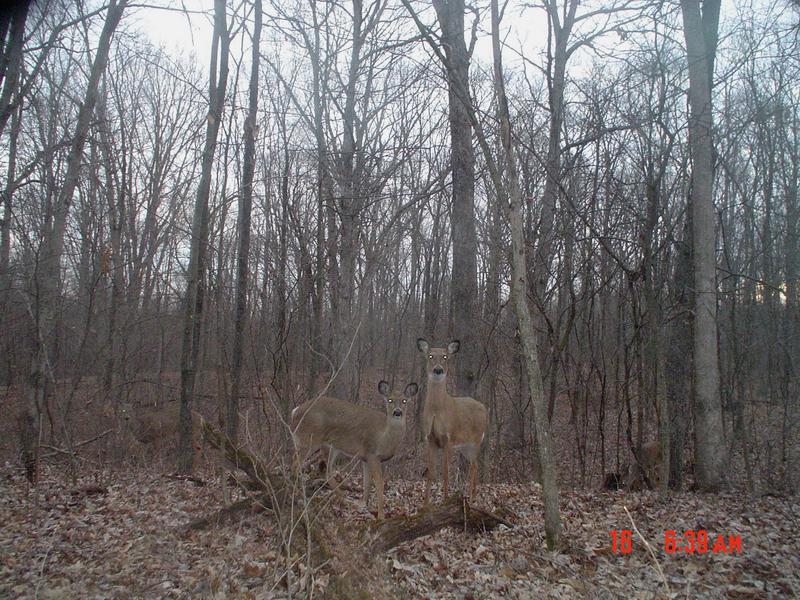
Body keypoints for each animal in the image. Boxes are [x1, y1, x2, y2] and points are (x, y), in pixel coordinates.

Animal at [291, 380, 418, 519]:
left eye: (404, 401)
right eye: (390, 400)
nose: (397, 412)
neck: (384, 438)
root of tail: (295, 411)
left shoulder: (365, 458)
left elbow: (367, 483)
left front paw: (363, 504)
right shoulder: (372, 454)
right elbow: (379, 484)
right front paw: (381, 515)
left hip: (331, 447)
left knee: (326, 471)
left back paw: (343, 498)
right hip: (309, 438)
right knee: (296, 464)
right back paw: (299, 491)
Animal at [416, 338, 488, 505]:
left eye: (444, 357)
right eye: (430, 356)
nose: (438, 370)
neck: (437, 411)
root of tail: (485, 408)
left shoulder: (448, 438)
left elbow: (445, 472)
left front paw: (445, 500)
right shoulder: (430, 438)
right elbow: (430, 472)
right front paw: (425, 504)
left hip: (475, 440)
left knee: (473, 466)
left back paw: (470, 499)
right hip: (464, 446)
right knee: (476, 465)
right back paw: (474, 495)